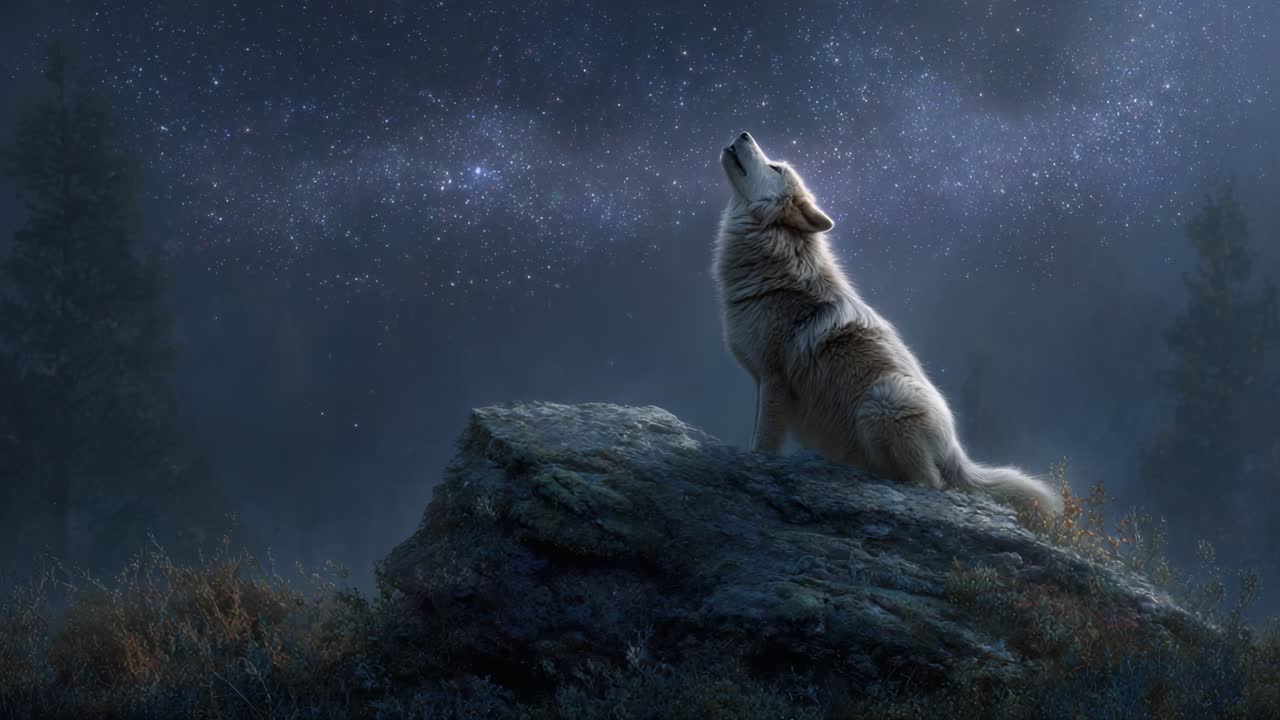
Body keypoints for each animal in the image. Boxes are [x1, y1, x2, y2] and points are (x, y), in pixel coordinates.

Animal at [713, 131, 1063, 517]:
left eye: (775, 167)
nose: (744, 134)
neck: (776, 267)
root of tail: (957, 451)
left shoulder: (774, 378)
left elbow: (763, 440)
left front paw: (753, 462)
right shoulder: (760, 379)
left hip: (883, 399)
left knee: (934, 484)